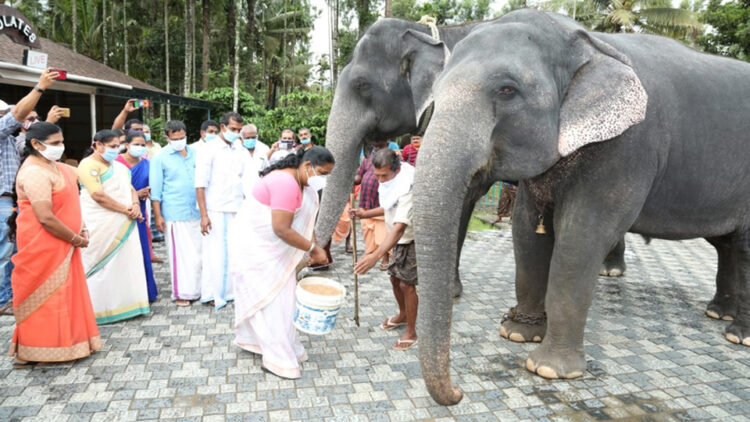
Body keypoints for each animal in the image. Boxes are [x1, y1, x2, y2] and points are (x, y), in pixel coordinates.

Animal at [414, 9, 750, 406]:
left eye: (507, 90)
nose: (458, 392)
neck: (587, 43)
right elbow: (526, 231)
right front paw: (518, 333)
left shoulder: (627, 146)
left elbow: (581, 237)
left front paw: (549, 369)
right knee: (730, 246)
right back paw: (719, 315)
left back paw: (739, 335)